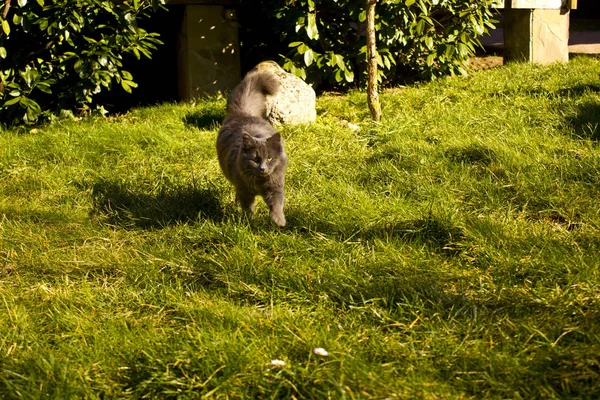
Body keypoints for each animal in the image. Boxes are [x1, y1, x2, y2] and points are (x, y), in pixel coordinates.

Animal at [217, 70, 290, 227]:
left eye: (270, 158)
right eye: (255, 159)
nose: (262, 168)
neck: (259, 184)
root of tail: (243, 113)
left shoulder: (275, 187)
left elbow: (277, 204)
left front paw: (279, 221)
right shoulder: (245, 191)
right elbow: (248, 208)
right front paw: (249, 223)